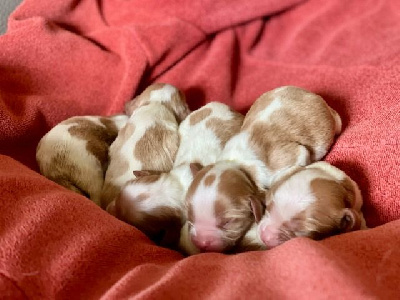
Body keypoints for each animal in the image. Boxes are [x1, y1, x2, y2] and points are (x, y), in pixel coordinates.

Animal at [186, 85, 342, 253]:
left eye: (228, 222)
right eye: (190, 217)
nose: (201, 243)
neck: (237, 164)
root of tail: (314, 96)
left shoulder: (292, 156)